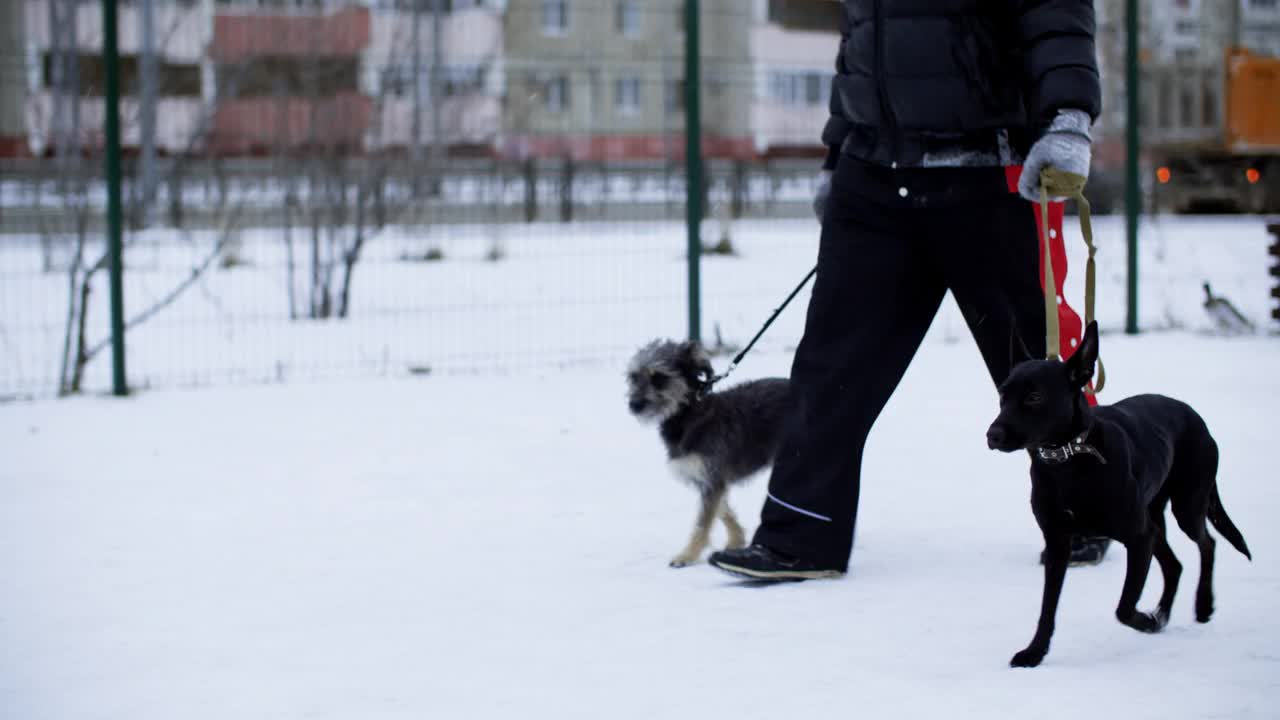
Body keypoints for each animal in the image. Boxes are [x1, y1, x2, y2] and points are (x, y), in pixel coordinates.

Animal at [622, 338, 788, 566]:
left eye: (659, 378)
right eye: (633, 377)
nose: (634, 405)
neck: (690, 415)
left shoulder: (713, 478)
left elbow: (702, 523)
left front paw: (687, 555)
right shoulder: (708, 479)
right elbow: (722, 510)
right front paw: (736, 540)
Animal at [988, 322, 1249, 666]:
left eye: (1034, 397)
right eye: (1002, 395)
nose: (992, 435)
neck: (1069, 462)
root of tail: (1196, 418)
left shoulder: (1138, 538)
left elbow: (1124, 607)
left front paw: (1146, 622)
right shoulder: (1058, 543)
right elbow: (1047, 609)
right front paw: (1035, 652)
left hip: (1187, 505)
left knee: (1208, 543)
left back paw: (1202, 605)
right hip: (1154, 519)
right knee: (1175, 565)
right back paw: (1164, 613)